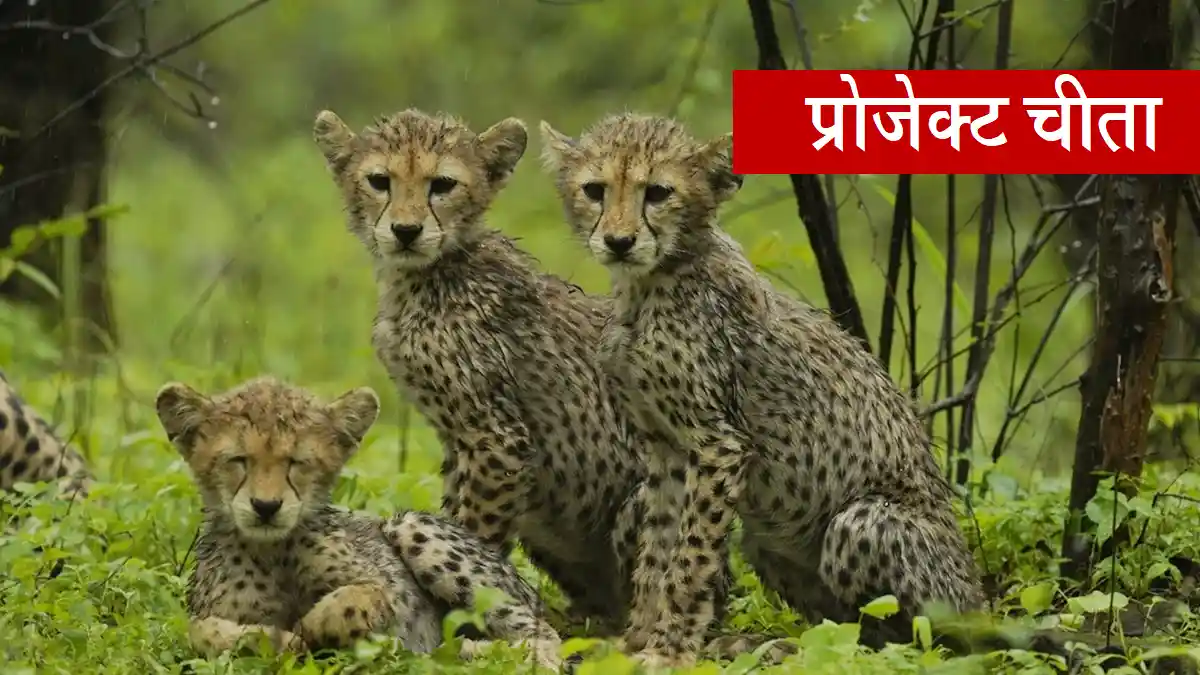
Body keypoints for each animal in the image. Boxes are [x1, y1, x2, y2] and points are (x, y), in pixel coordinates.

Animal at [155, 375, 563, 668]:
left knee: (546, 638)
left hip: (412, 527)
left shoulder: (390, 595)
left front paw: (309, 628)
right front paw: (278, 639)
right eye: (238, 460)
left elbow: (359, 598)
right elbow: (199, 631)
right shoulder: (210, 619)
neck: (274, 552)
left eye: (298, 462)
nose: (266, 506)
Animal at [539, 112, 986, 667]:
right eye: (595, 190)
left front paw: (671, 651)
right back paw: (766, 644)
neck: (649, 285)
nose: (619, 242)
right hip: (767, 541)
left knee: (907, 641)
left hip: (861, 523)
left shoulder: (719, 446)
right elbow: (657, 551)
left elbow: (690, 557)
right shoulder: (666, 448)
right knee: (841, 626)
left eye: (658, 192)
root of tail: (979, 598)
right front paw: (638, 640)